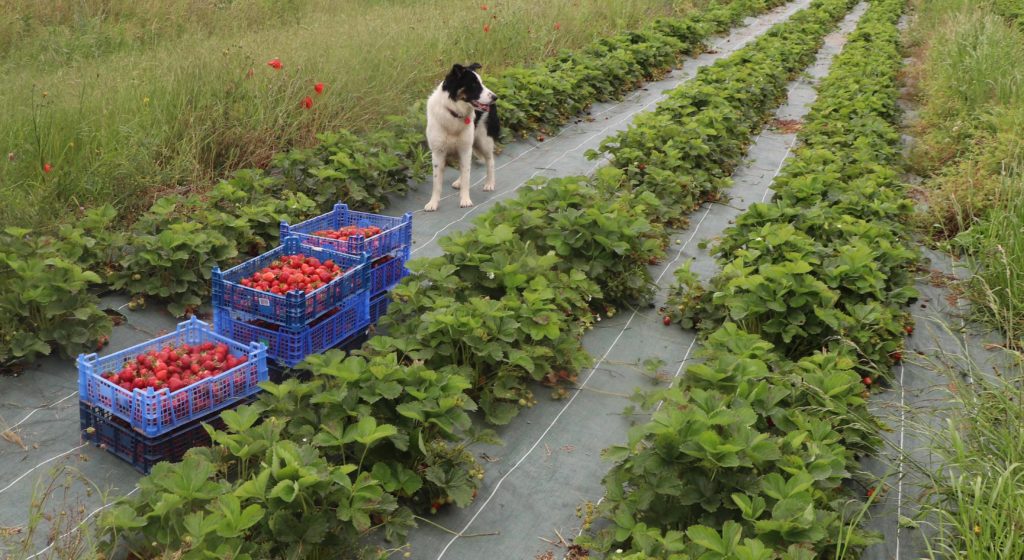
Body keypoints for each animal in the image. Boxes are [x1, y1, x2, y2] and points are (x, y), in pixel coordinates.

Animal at [423, 62, 499, 212]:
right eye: (474, 85)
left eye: (481, 83)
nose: (495, 97)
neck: (454, 113)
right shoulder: (438, 152)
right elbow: (437, 182)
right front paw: (433, 203)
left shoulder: (465, 148)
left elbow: (467, 178)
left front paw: (465, 200)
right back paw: (459, 181)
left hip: (484, 140)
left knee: (490, 161)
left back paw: (489, 183)